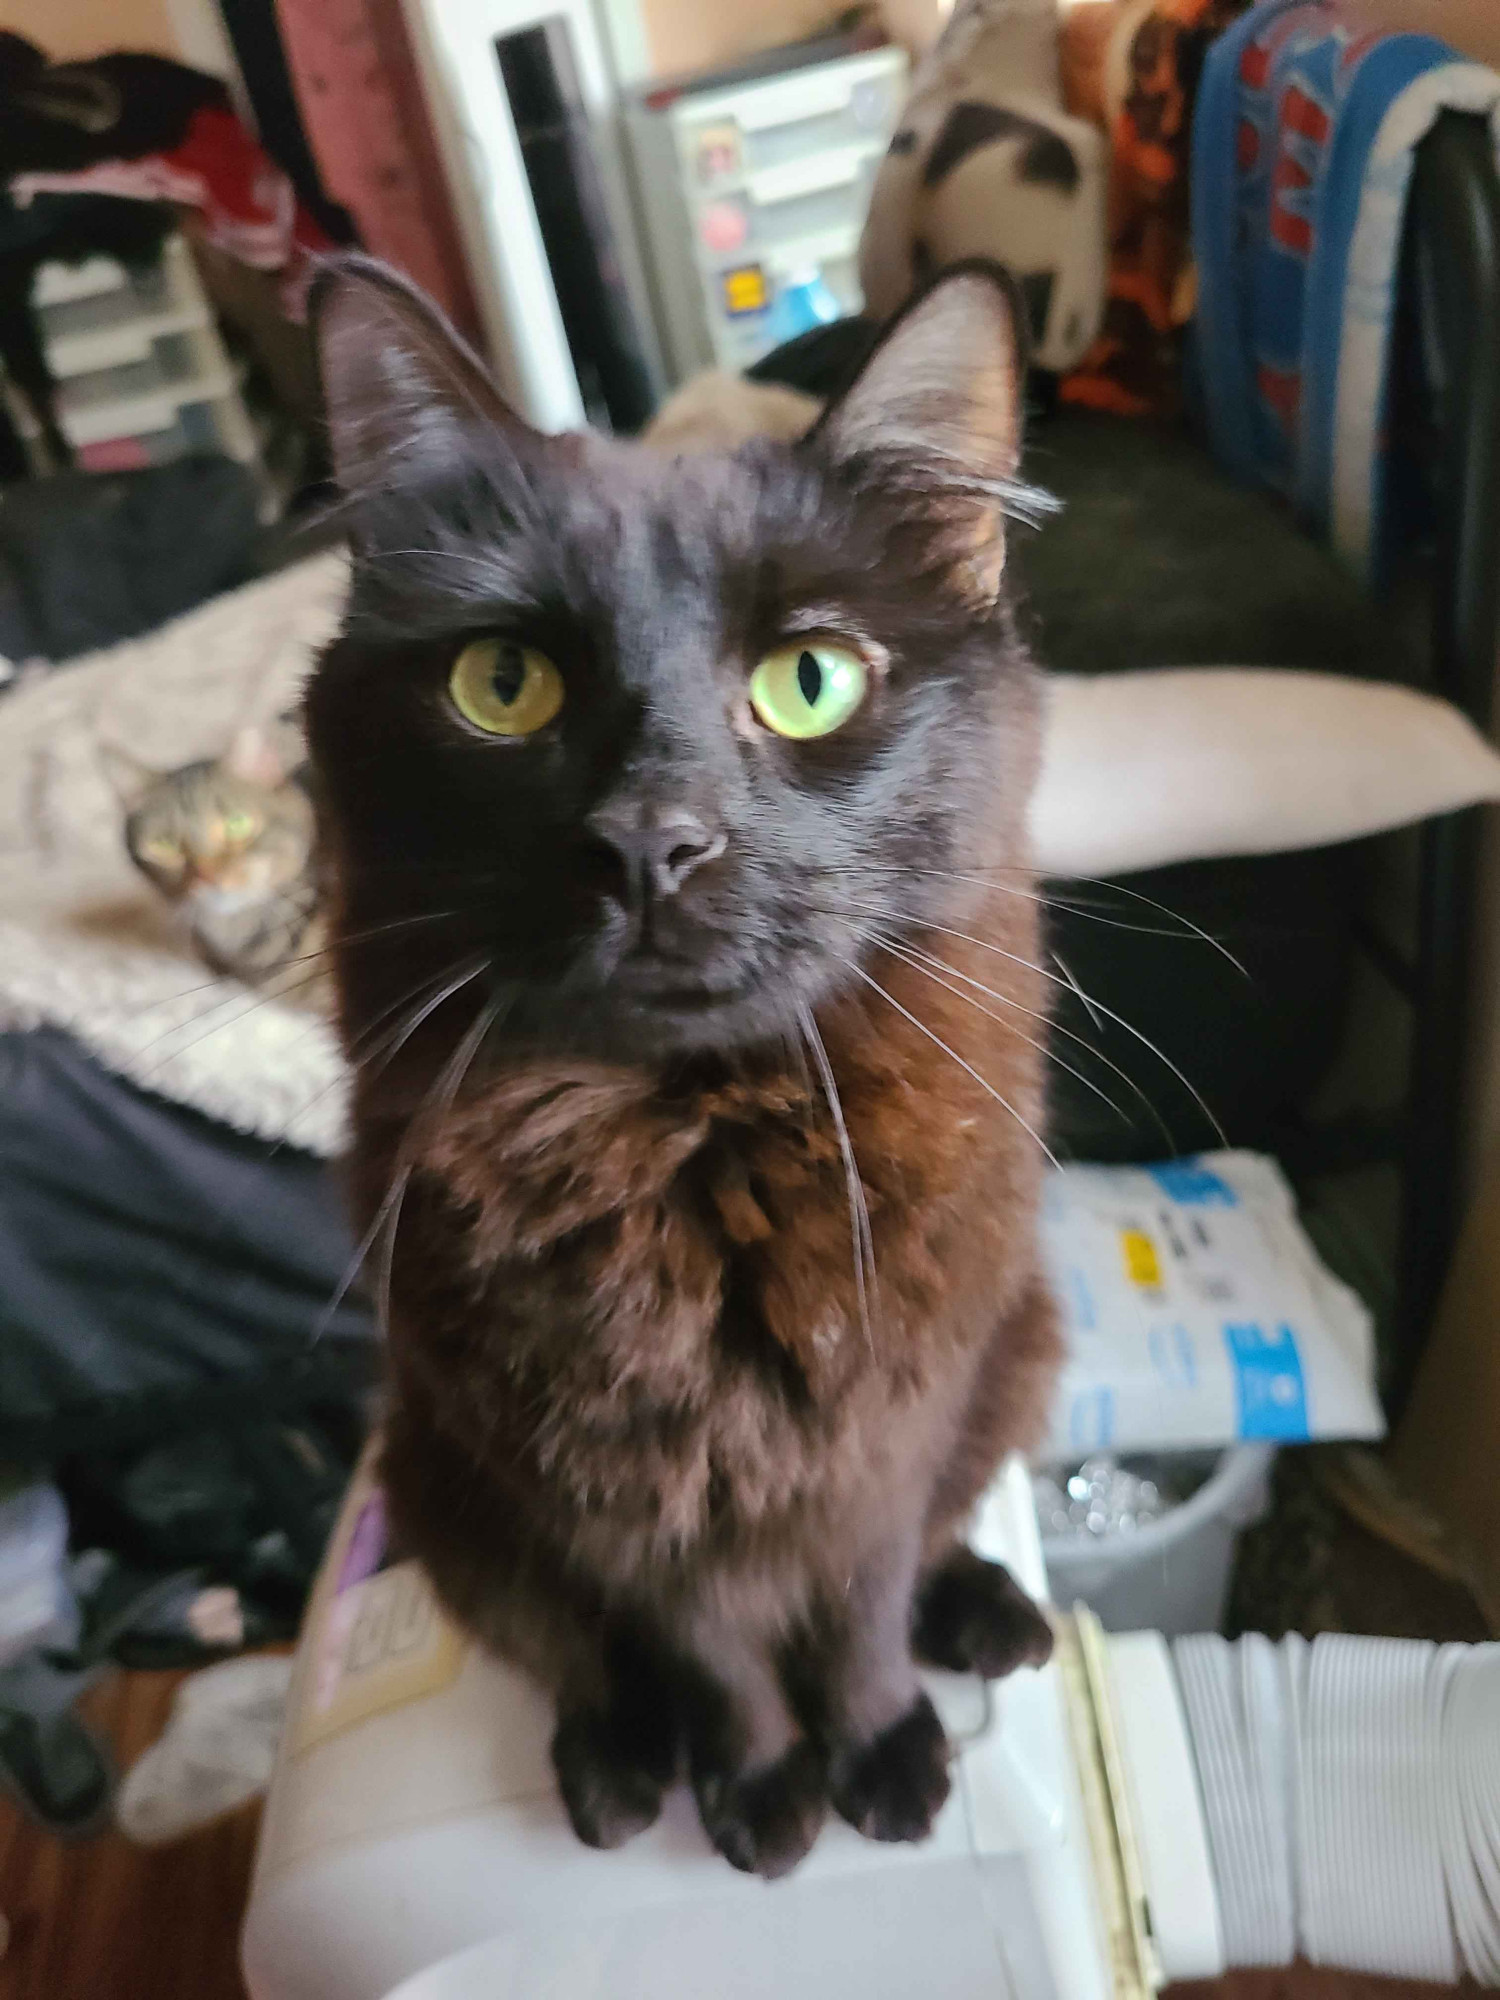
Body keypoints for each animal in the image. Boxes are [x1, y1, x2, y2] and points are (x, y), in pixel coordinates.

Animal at [306, 258, 1064, 1880]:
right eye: (503, 682)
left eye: (810, 680)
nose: (650, 839)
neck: (697, 1151)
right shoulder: (609, 1490)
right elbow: (707, 1649)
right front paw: (764, 1786)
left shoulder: (883, 1442)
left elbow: (861, 1606)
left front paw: (878, 1750)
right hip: (438, 1477)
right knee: (576, 1653)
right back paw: (615, 1768)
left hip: (1023, 1346)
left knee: (944, 1540)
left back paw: (987, 1615)